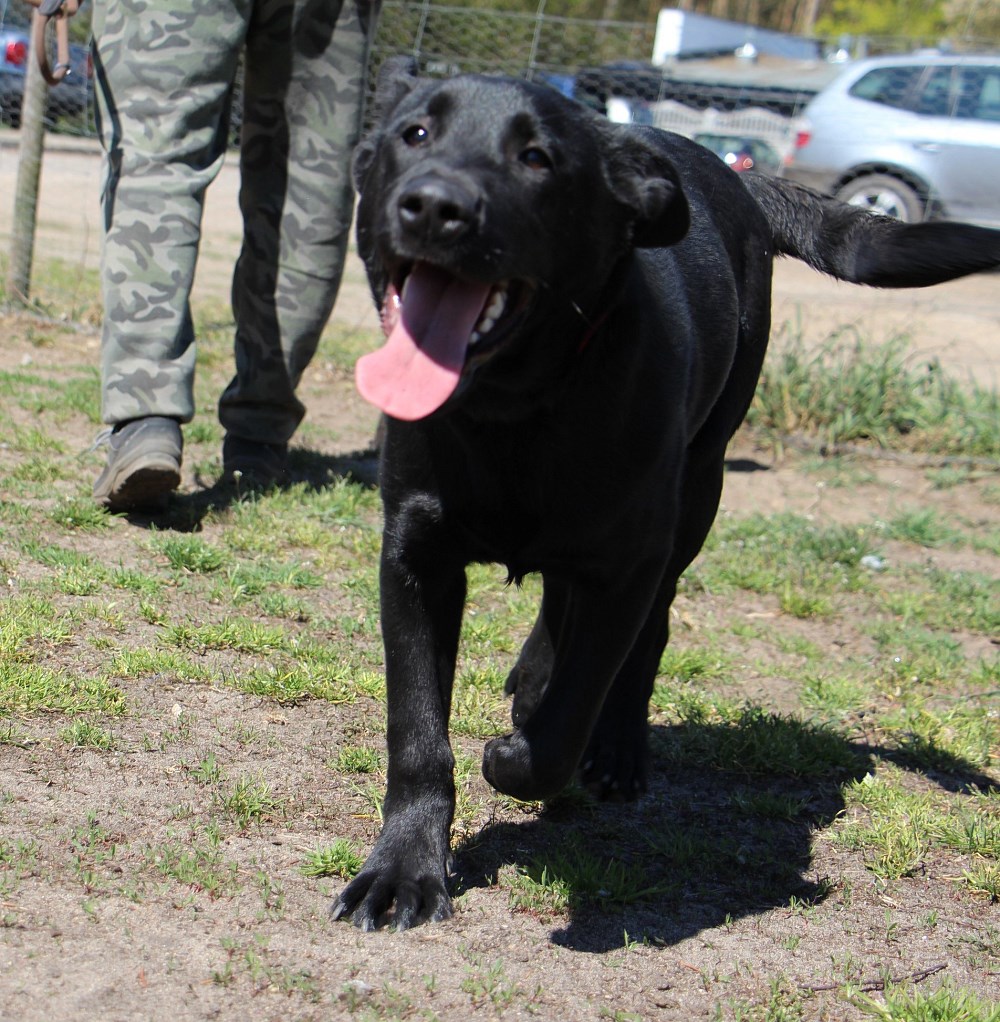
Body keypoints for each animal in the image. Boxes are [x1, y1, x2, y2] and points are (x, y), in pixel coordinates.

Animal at [332, 58, 1000, 931]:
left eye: (538, 158)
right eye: (415, 133)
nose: (437, 205)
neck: (515, 409)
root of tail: (735, 174)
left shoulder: (629, 563)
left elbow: (565, 722)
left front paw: (519, 752)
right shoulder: (415, 556)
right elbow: (417, 732)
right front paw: (403, 871)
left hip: (698, 488)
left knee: (647, 633)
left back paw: (613, 749)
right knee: (560, 603)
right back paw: (534, 678)